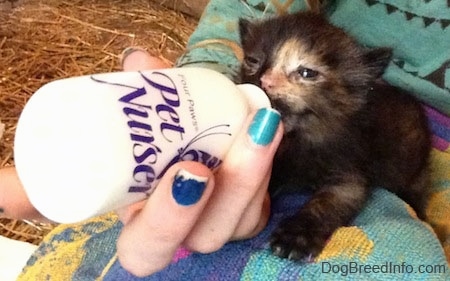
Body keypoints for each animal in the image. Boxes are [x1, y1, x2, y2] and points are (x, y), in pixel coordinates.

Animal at [239, 11, 432, 260]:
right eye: (252, 61)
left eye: (307, 73)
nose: (265, 81)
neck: (301, 140)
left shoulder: (349, 176)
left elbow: (327, 204)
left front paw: (295, 235)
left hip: (414, 171)